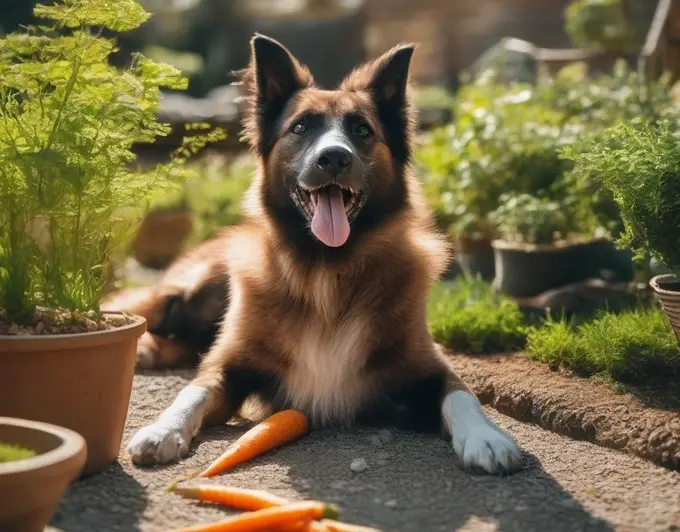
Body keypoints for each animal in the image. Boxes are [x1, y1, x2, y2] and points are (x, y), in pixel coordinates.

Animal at [109, 34, 524, 474]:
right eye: (300, 126)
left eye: (361, 129)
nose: (334, 158)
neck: (327, 271)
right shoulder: (227, 367)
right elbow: (192, 391)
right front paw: (163, 430)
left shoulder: (428, 367)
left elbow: (462, 395)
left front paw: (487, 437)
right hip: (191, 289)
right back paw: (144, 347)